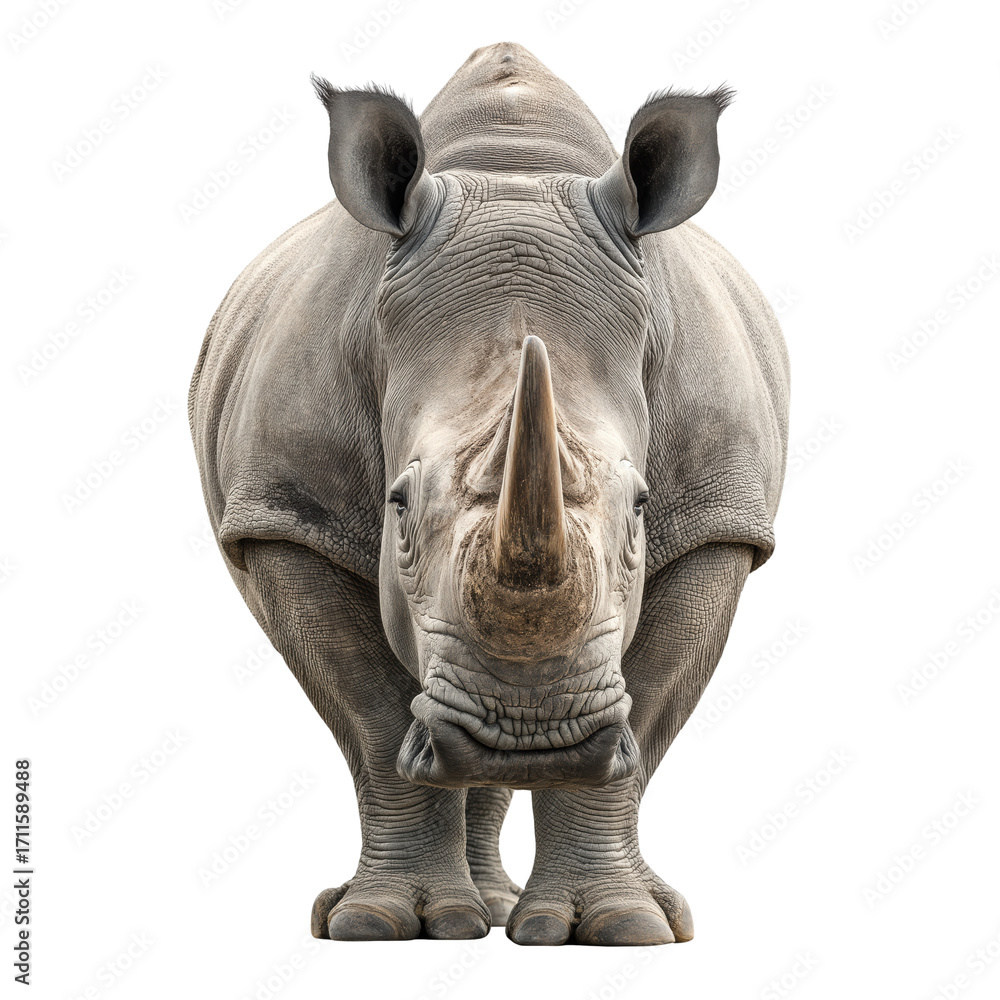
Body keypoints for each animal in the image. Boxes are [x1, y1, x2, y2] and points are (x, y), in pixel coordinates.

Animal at [189, 41, 788, 946]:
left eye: (642, 510)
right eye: (398, 509)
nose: (530, 736)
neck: (515, 172)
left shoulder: (721, 520)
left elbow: (644, 720)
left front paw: (620, 925)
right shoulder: (286, 515)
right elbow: (373, 719)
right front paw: (375, 923)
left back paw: (552, 907)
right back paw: (457, 913)